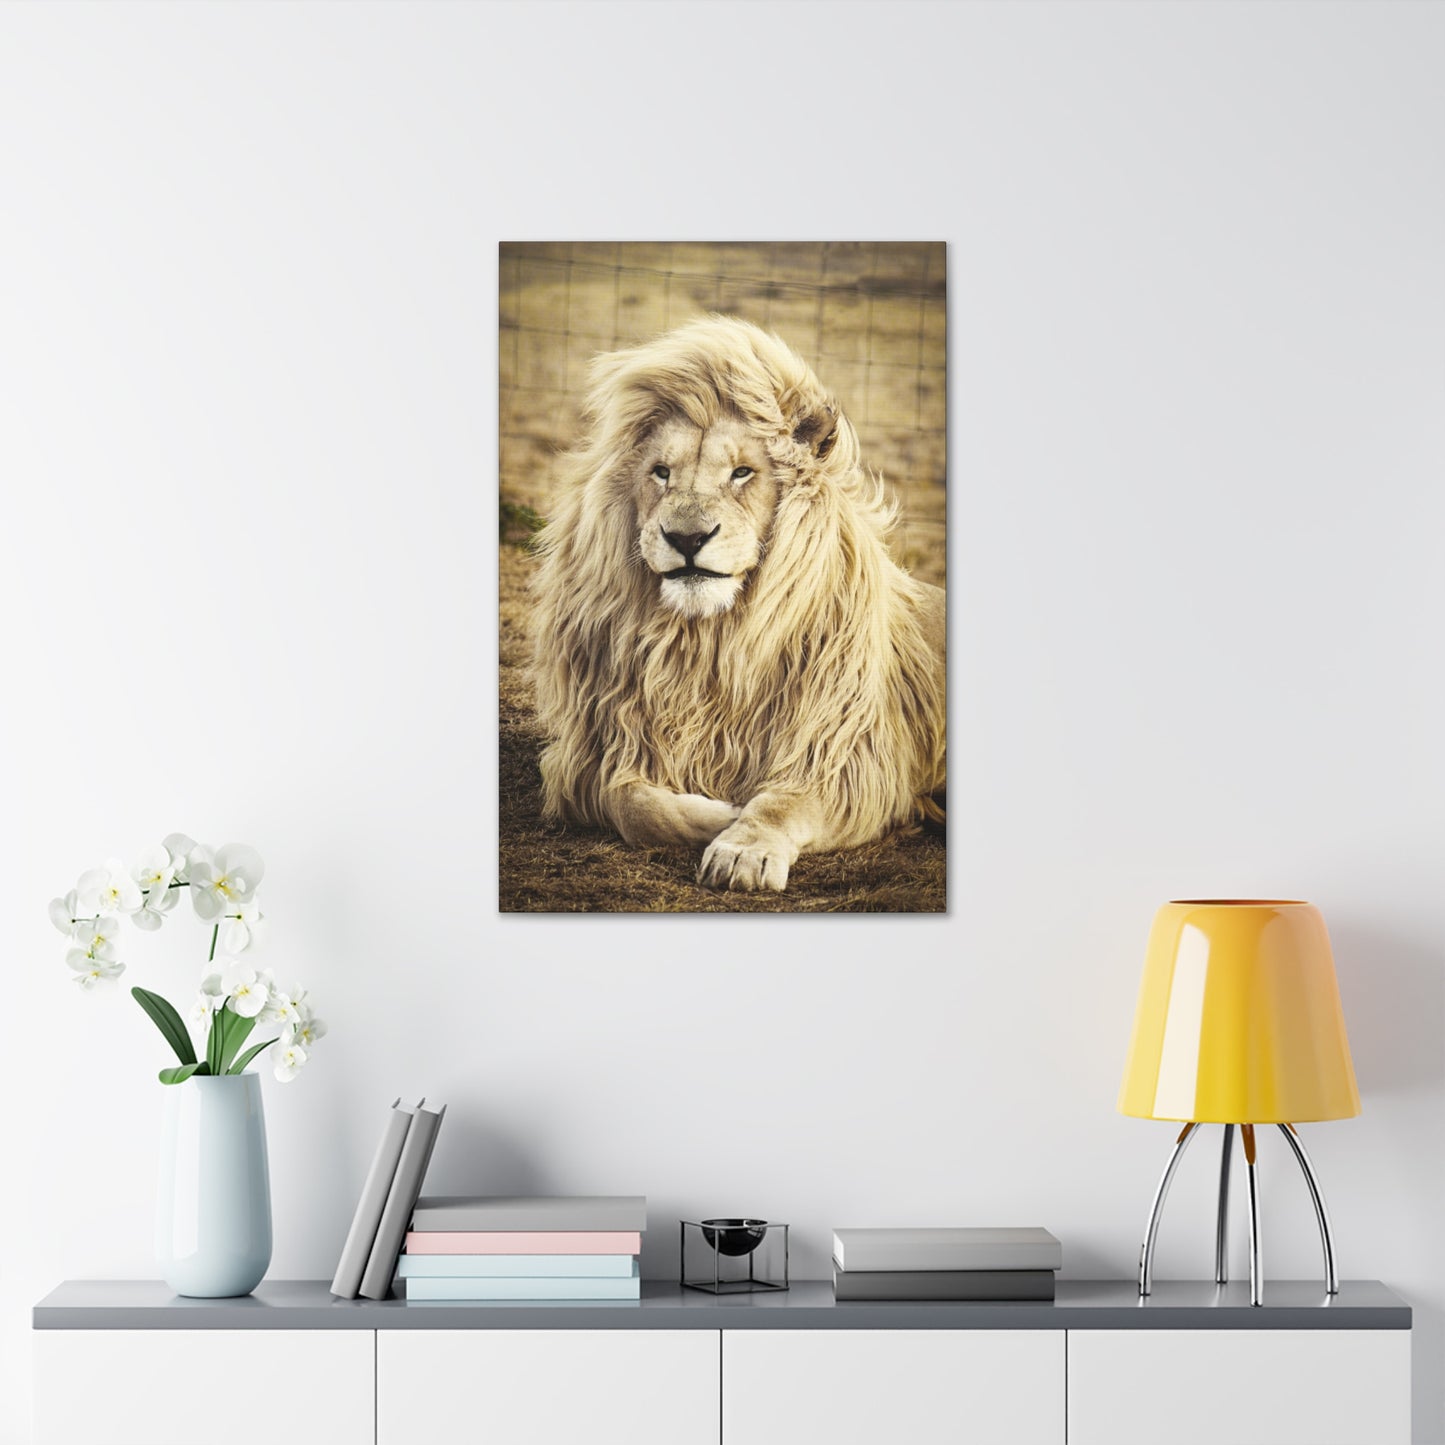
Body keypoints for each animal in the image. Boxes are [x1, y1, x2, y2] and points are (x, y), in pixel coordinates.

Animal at [528, 315, 945, 893]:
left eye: (742, 472)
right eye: (661, 472)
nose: (686, 537)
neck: (707, 641)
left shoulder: (846, 760)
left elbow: (781, 803)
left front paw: (742, 847)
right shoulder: (600, 751)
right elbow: (631, 803)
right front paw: (720, 813)